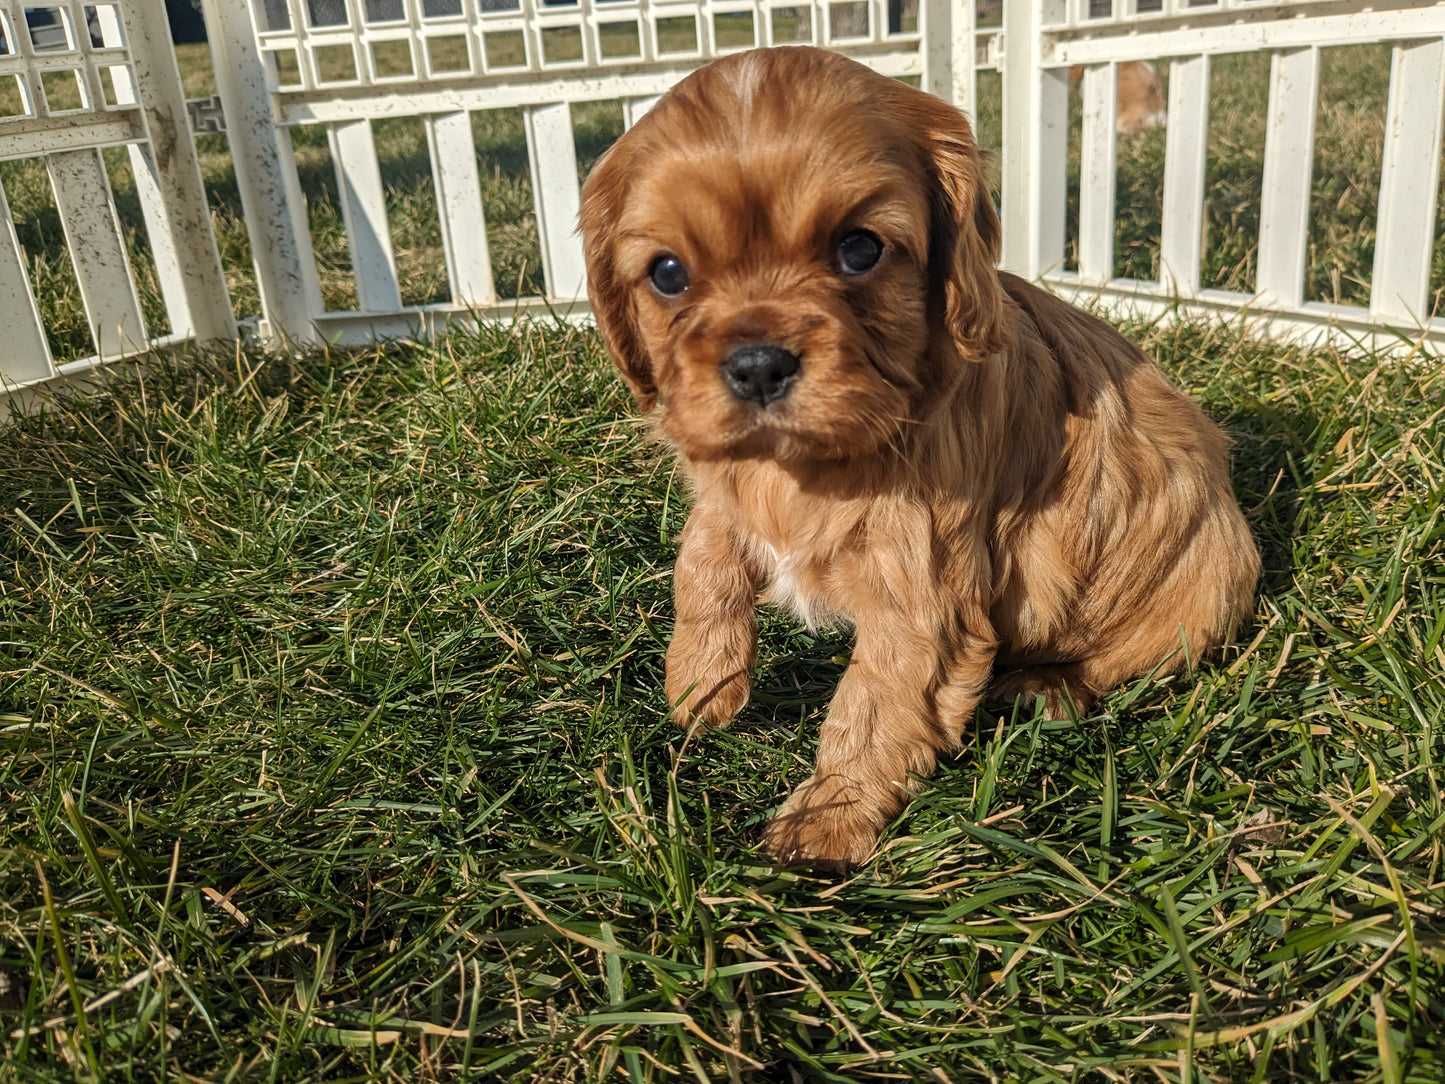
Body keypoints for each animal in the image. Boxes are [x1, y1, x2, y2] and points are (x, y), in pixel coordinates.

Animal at [580, 48, 1260, 872]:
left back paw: (1046, 687)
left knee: (1129, 658)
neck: (804, 466)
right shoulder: (724, 480)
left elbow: (875, 701)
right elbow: (703, 559)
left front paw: (828, 822)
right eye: (668, 273)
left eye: (859, 249)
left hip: (1208, 586)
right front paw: (700, 681)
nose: (757, 365)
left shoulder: (924, 589)